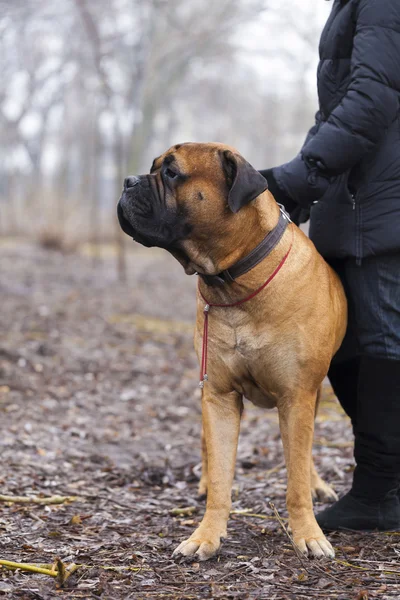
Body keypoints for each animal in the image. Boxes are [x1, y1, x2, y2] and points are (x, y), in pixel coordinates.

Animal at [118, 142, 346, 564]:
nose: (127, 181)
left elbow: (295, 476)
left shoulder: (297, 395)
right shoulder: (220, 395)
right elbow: (223, 471)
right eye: (154, 168)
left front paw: (308, 533)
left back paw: (316, 483)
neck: (234, 278)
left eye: (171, 172)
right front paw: (206, 534)